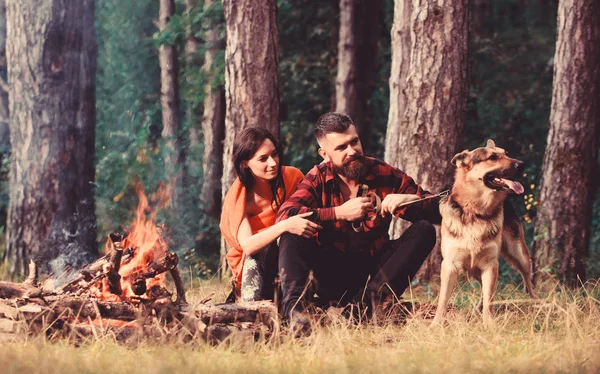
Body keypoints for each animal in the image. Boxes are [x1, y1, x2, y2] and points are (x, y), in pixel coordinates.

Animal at [434, 140, 536, 328]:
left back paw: (538, 306)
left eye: (506, 153)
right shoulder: (450, 266)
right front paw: (435, 325)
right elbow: (443, 300)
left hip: (520, 256)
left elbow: (489, 298)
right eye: (493, 157)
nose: (522, 164)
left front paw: (488, 325)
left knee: (529, 283)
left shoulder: (490, 265)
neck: (475, 211)